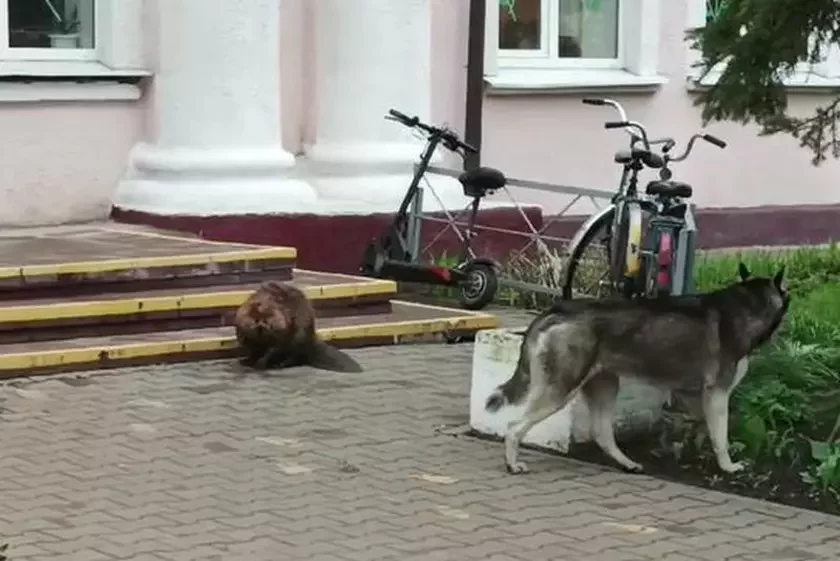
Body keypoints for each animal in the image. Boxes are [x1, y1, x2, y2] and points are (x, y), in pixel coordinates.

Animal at [231, 278, 362, 372]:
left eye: (267, 320)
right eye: (256, 320)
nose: (262, 326)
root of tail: (312, 342)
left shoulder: (284, 331)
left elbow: (274, 348)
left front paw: (261, 363)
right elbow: (252, 346)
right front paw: (246, 361)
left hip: (300, 337)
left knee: (294, 355)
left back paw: (280, 364)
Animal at [486, 262, 788, 472]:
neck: (746, 304)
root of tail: (556, 310)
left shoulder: (694, 394)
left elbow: (704, 427)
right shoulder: (718, 393)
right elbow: (721, 436)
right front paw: (727, 466)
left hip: (605, 385)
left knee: (602, 433)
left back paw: (627, 463)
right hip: (560, 391)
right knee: (514, 427)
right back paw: (512, 463)